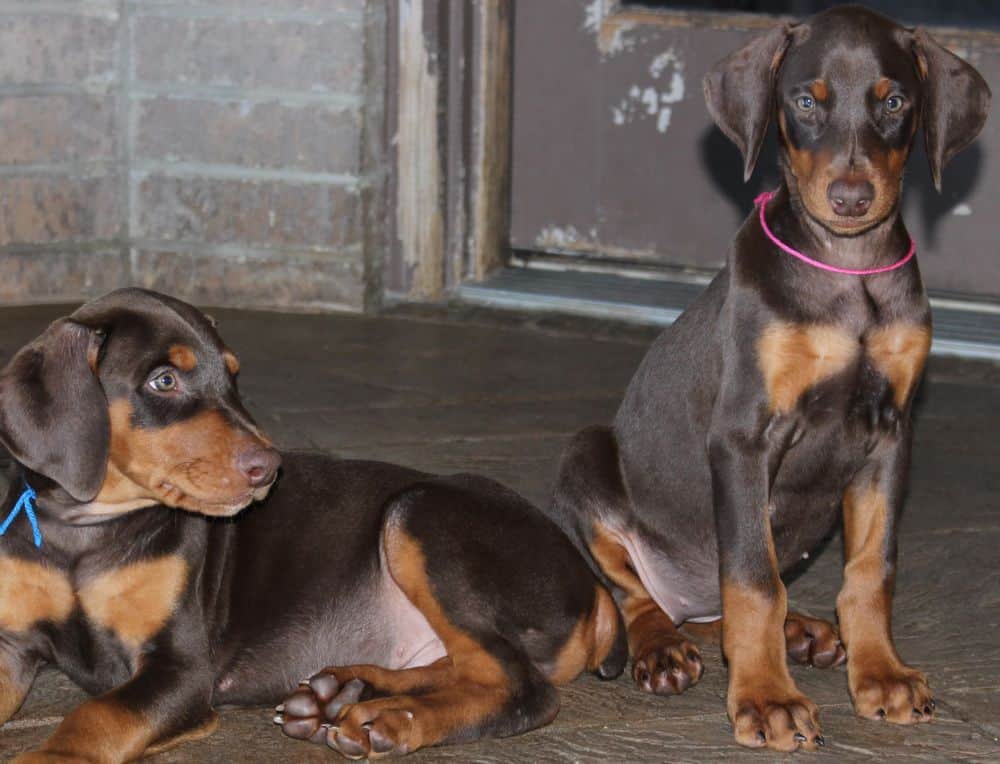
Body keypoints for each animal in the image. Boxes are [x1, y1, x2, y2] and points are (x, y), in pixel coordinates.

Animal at [0, 290, 624, 760]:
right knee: (469, 666)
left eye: (232, 378)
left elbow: (99, 713)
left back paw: (390, 720)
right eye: (164, 381)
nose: (268, 467)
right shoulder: (10, 645)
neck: (83, 531)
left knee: (521, 688)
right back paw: (343, 692)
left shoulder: (179, 666)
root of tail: (589, 579)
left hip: (421, 514)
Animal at [548, 5, 992, 756]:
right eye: (806, 102)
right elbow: (753, 580)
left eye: (894, 103)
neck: (847, 272)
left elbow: (872, 568)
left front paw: (881, 674)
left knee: (716, 608)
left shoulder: (890, 434)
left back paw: (803, 633)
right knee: (639, 594)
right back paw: (662, 648)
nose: (851, 199)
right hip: (585, 457)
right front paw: (766, 698)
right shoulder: (744, 436)